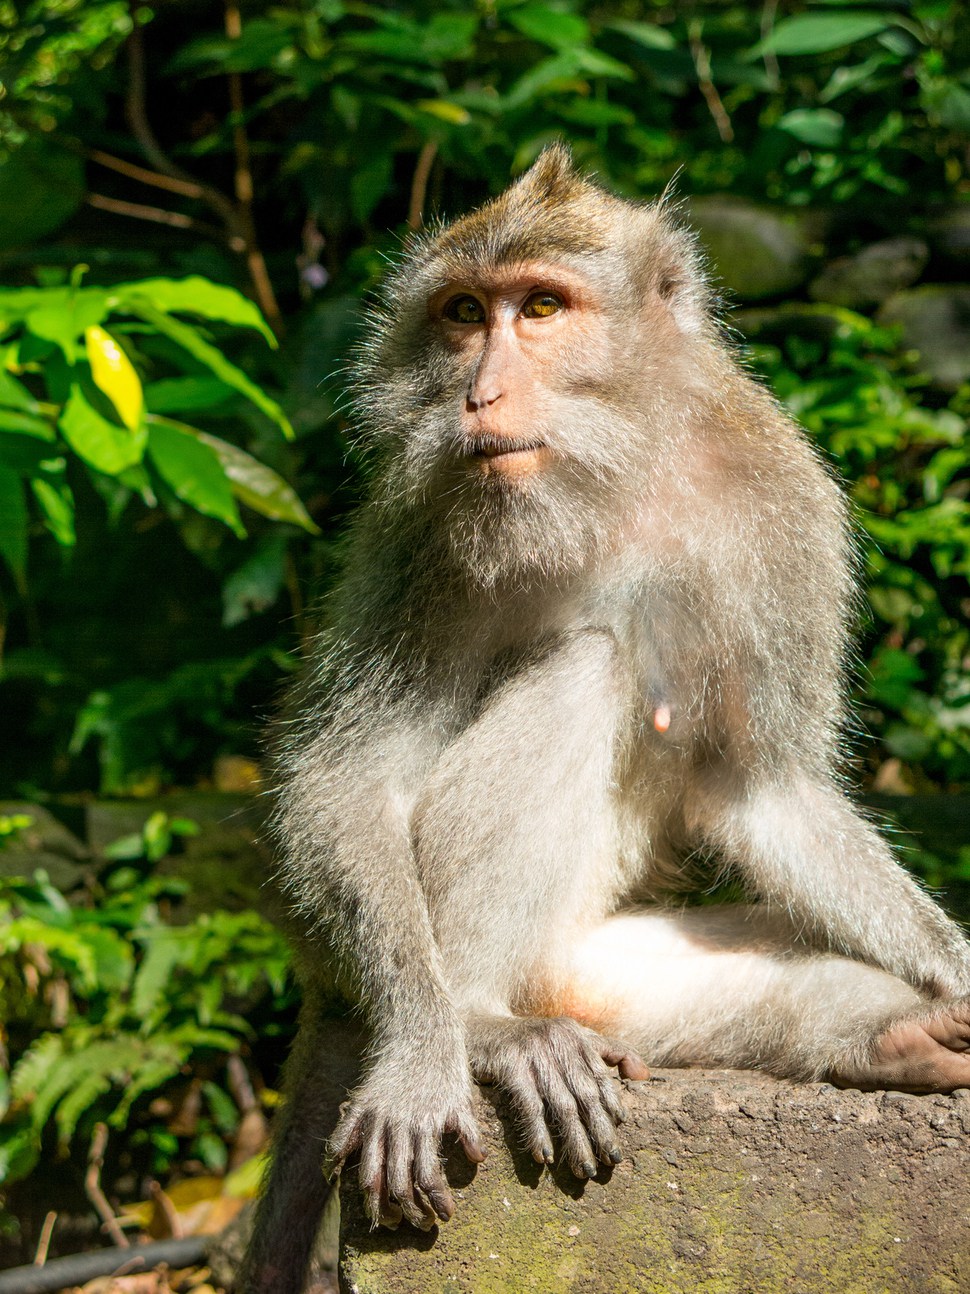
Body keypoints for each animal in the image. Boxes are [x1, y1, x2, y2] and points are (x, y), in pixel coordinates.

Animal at [239, 146, 970, 1288]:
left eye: (541, 307)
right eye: (463, 313)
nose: (480, 393)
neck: (608, 471)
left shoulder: (785, 508)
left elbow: (766, 793)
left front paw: (952, 974)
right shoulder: (419, 518)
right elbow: (349, 777)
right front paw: (425, 1054)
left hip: (595, 968)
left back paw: (894, 1033)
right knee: (588, 666)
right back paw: (482, 1022)